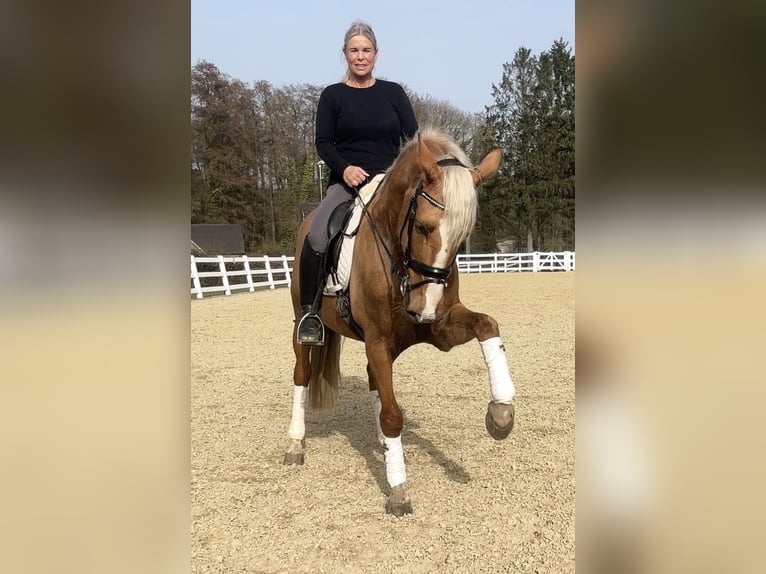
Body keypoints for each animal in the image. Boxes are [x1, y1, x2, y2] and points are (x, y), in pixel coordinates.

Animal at [284, 128, 516, 516]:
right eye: (422, 227)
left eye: (462, 237)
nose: (424, 308)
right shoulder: (379, 338)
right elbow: (393, 415)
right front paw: (398, 489)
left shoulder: (440, 328)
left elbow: (488, 325)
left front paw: (501, 412)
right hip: (304, 326)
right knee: (303, 375)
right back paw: (295, 444)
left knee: (374, 381)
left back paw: (383, 443)